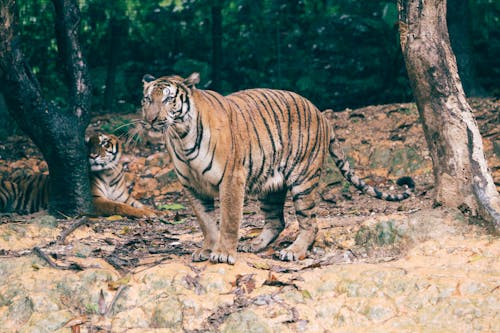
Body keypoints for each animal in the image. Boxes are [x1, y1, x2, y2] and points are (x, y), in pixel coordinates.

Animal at [0, 132, 156, 218]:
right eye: (87, 144)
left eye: (104, 143)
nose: (92, 155)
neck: (109, 173)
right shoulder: (95, 200)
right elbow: (119, 207)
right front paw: (146, 214)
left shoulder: (124, 198)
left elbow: (141, 205)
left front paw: (157, 212)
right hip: (8, 188)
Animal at [141, 71, 414, 264]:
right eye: (147, 99)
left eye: (168, 99)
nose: (151, 120)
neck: (181, 136)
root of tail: (321, 114)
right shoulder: (191, 186)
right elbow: (206, 223)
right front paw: (207, 250)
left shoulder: (231, 179)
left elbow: (229, 219)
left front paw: (223, 254)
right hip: (270, 185)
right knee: (276, 221)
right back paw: (254, 245)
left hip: (303, 181)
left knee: (310, 223)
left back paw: (293, 252)